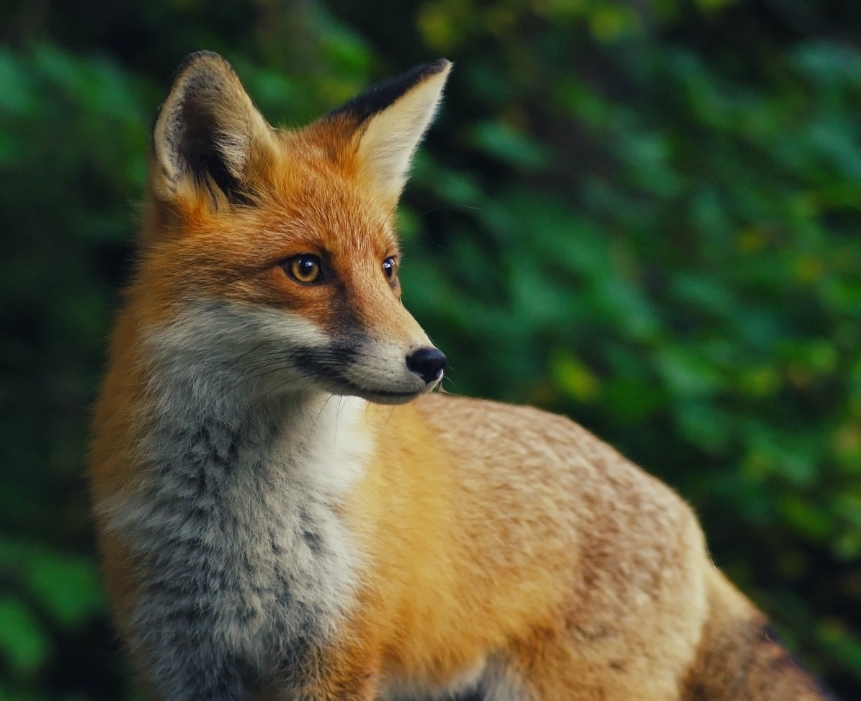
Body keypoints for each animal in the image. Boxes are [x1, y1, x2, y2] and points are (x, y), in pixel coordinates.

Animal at [89, 50, 832, 700]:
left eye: (388, 268)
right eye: (306, 269)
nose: (431, 361)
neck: (240, 523)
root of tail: (683, 515)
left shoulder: (339, 658)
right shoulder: (182, 662)